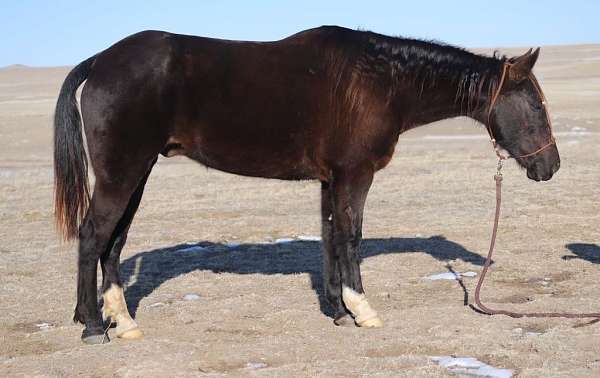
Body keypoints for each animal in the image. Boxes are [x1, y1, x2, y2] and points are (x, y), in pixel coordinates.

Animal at [54, 25, 560, 346]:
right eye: (535, 104)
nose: (550, 166)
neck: (380, 82)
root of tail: (101, 61)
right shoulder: (355, 175)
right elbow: (350, 237)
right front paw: (363, 311)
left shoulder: (329, 180)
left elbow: (330, 238)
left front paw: (337, 311)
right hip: (122, 173)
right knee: (93, 236)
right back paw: (93, 326)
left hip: (137, 174)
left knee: (115, 242)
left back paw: (121, 321)